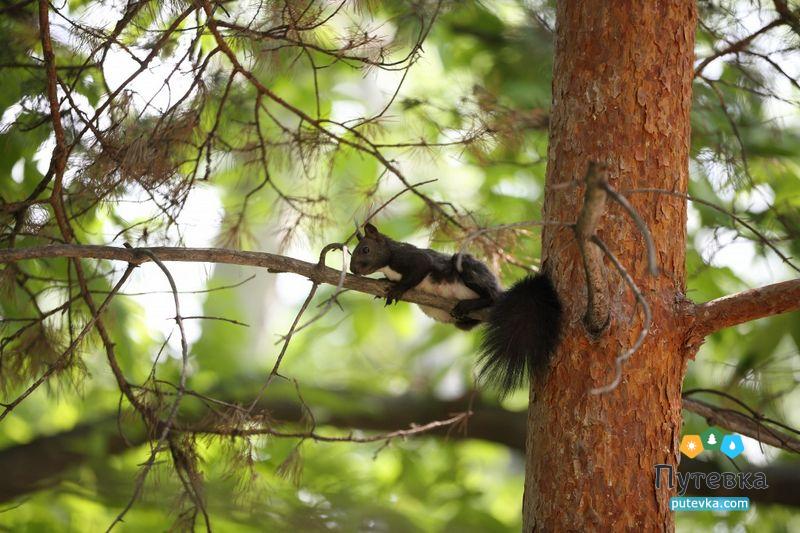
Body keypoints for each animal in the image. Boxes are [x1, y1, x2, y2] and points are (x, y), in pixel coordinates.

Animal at [350, 221, 564, 394]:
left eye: (365, 249)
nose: (353, 269)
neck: (388, 263)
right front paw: (383, 284)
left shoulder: (413, 258)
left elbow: (418, 270)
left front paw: (398, 289)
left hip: (468, 270)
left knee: (490, 297)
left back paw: (473, 302)